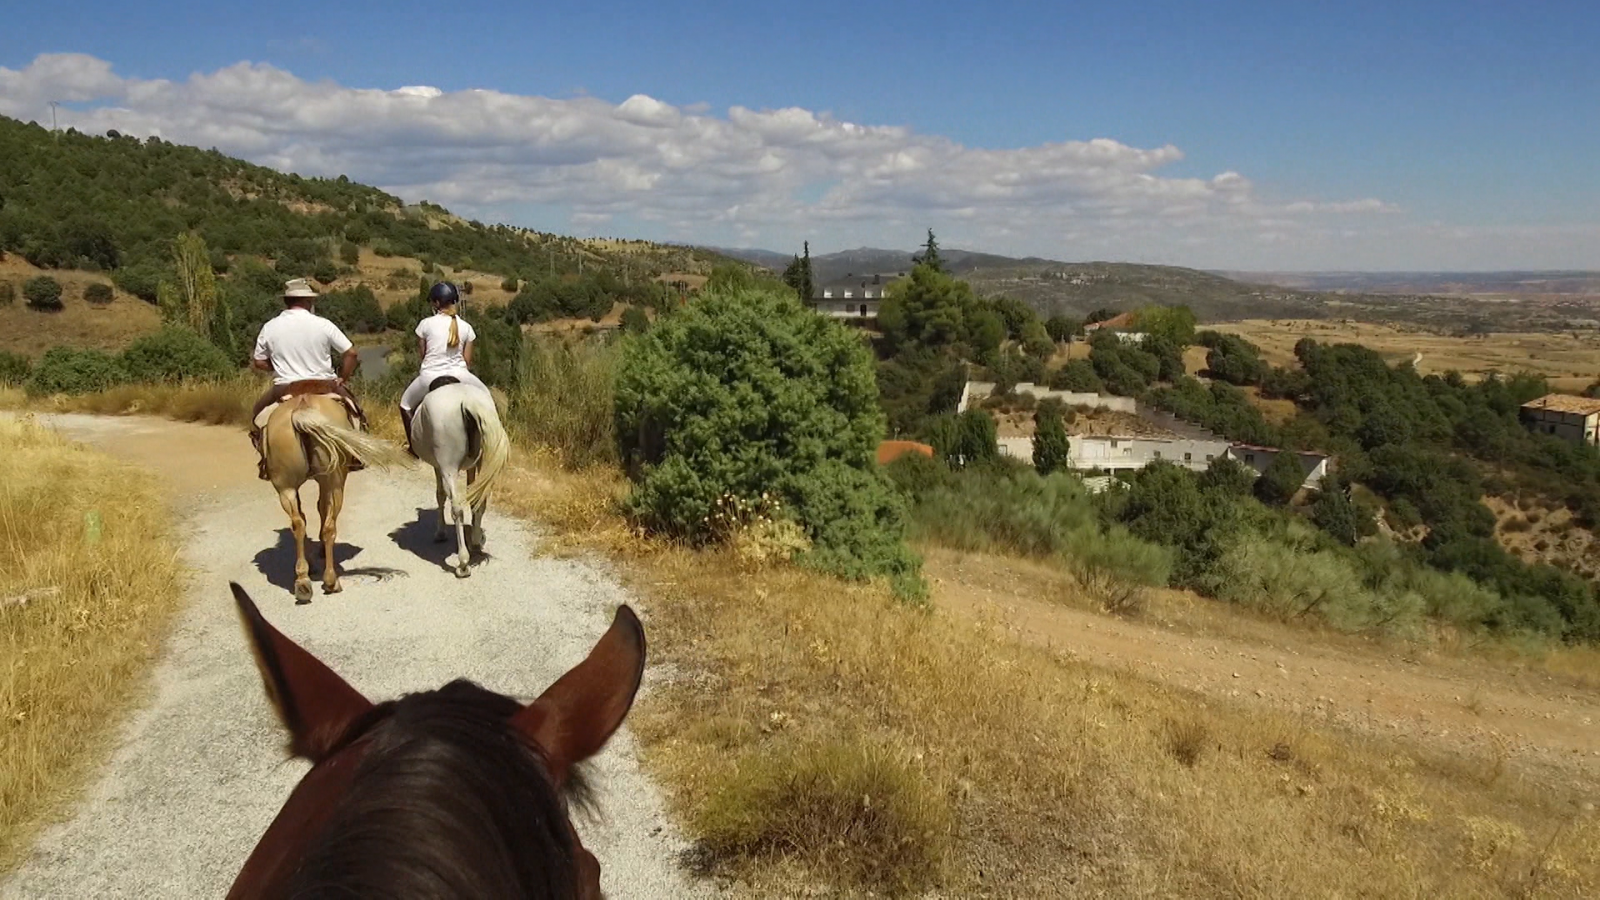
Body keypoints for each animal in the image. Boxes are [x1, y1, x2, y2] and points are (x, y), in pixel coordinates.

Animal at [257, 395, 403, 598]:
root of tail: (301, 407)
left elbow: (311, 512)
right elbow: (322, 511)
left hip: (286, 488)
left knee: (298, 523)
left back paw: (303, 581)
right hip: (334, 484)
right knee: (329, 527)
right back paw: (331, 581)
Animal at [409, 376, 508, 573]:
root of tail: (467, 402)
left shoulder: (438, 466)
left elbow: (440, 495)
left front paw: (440, 533)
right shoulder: (471, 466)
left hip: (448, 467)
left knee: (456, 508)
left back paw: (463, 563)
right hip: (482, 462)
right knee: (480, 501)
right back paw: (475, 543)